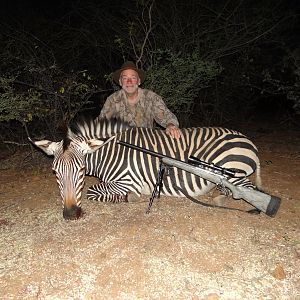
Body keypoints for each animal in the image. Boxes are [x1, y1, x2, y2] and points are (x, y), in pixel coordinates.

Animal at [31, 118, 262, 220]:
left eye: (81, 170)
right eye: (55, 172)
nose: (71, 214)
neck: (111, 152)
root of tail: (248, 141)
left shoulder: (126, 181)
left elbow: (93, 190)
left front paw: (130, 198)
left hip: (232, 171)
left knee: (251, 190)